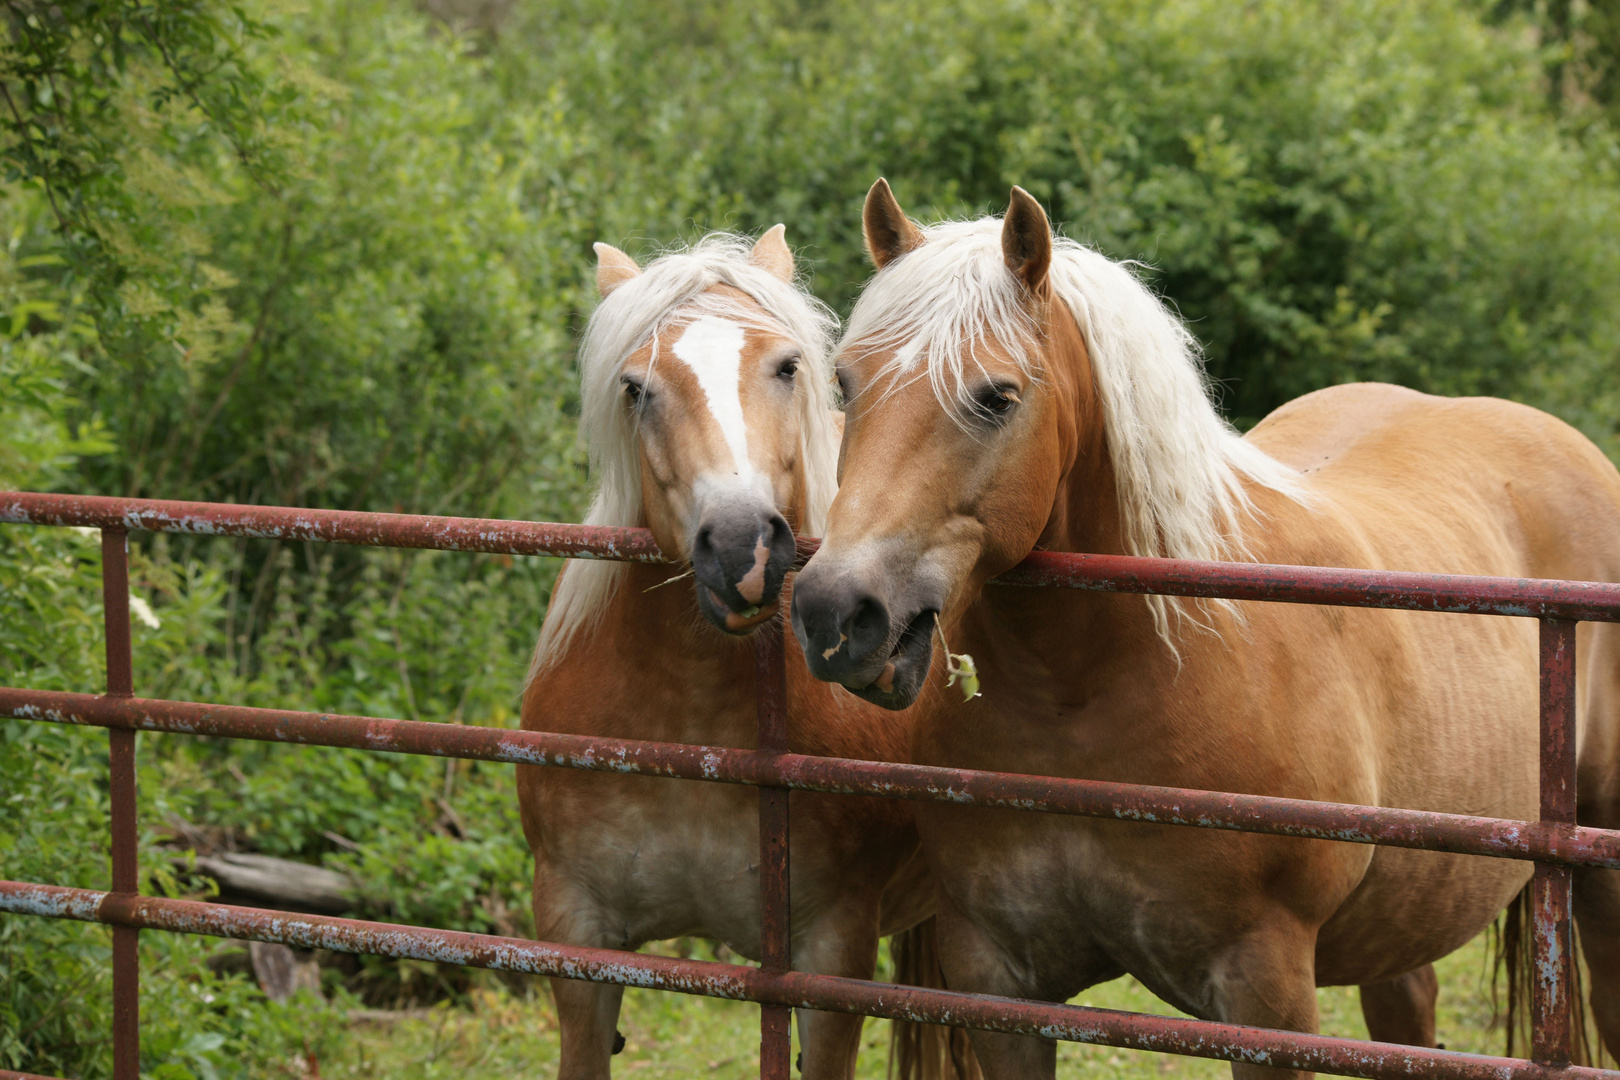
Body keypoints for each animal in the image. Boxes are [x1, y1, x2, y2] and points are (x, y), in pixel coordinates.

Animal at [518, 229, 972, 1080]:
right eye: (636, 387)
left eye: (787, 367)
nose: (741, 547)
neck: (689, 719)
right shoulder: (576, 939)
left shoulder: (828, 956)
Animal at [790, 181, 1620, 1075]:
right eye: (846, 382)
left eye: (996, 397)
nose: (835, 611)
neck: (1086, 694)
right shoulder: (996, 983)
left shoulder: (1265, 999)